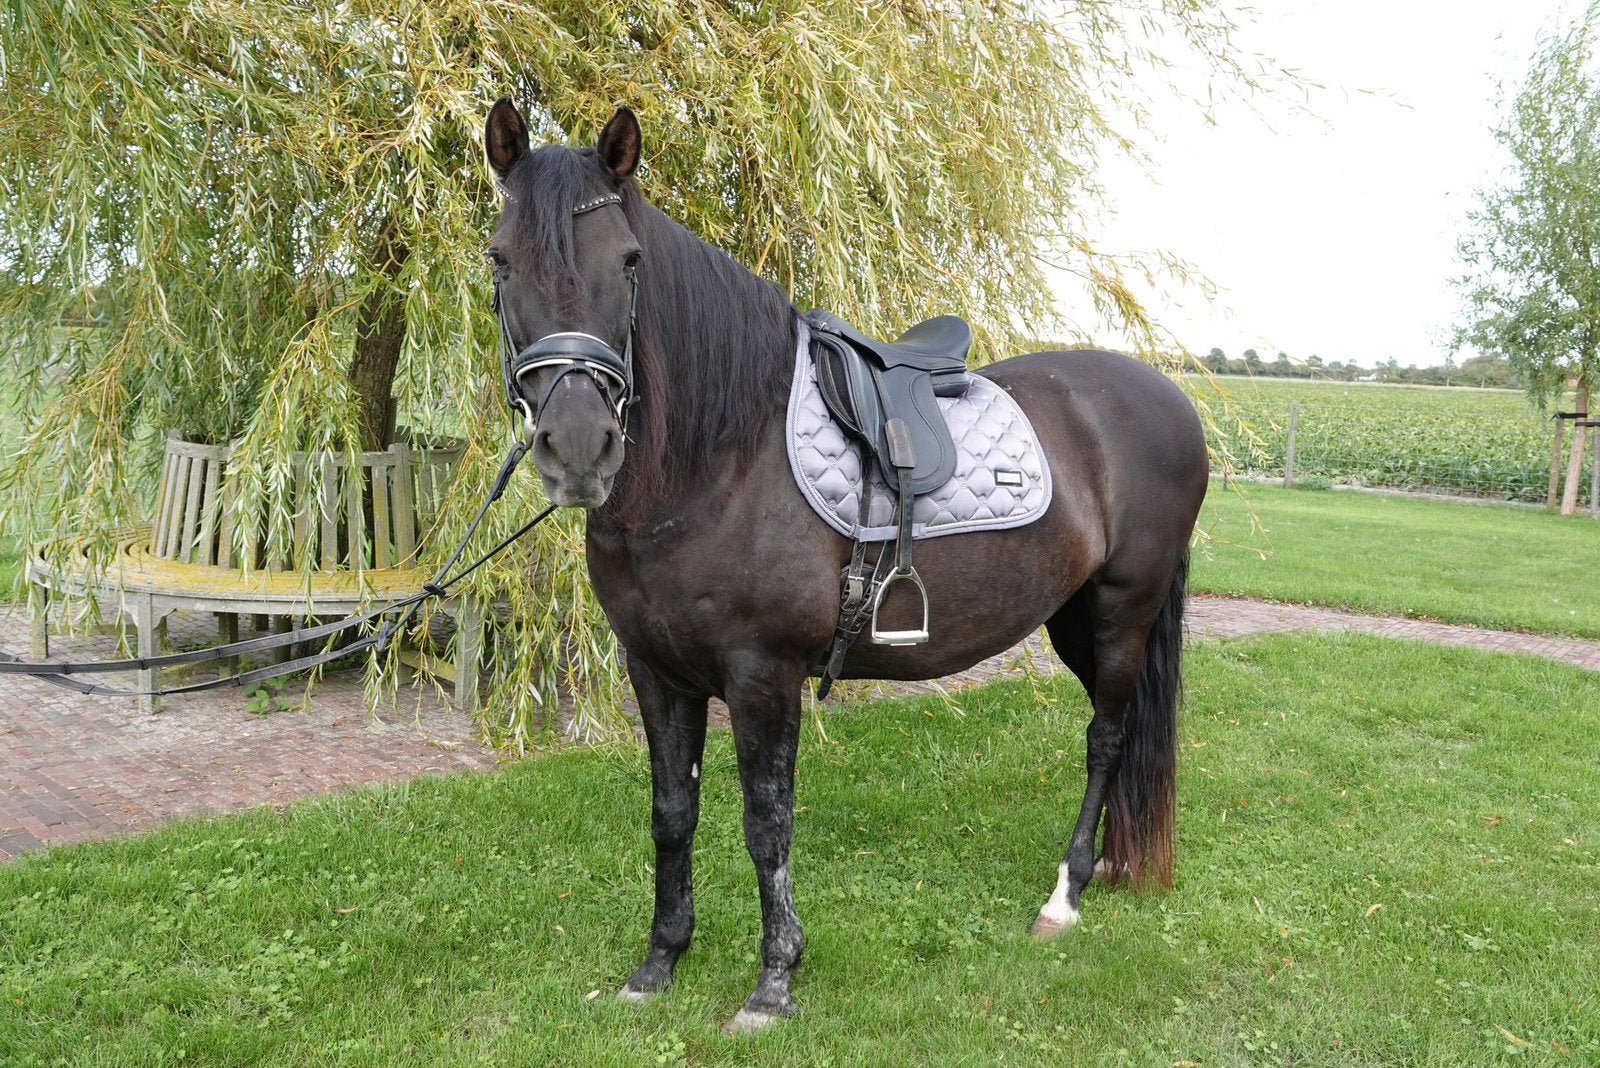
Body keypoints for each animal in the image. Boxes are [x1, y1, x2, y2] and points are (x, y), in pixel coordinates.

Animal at [482, 99, 1208, 1032]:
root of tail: (1166, 395)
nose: (578, 448)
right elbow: (672, 813)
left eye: (630, 261)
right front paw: (658, 964)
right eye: (501, 259)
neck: (721, 458)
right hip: (1074, 618)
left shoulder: (762, 675)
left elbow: (766, 824)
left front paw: (773, 983)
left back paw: (1066, 895)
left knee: (1106, 737)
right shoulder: (656, 672)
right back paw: (1113, 866)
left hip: (1124, 609)